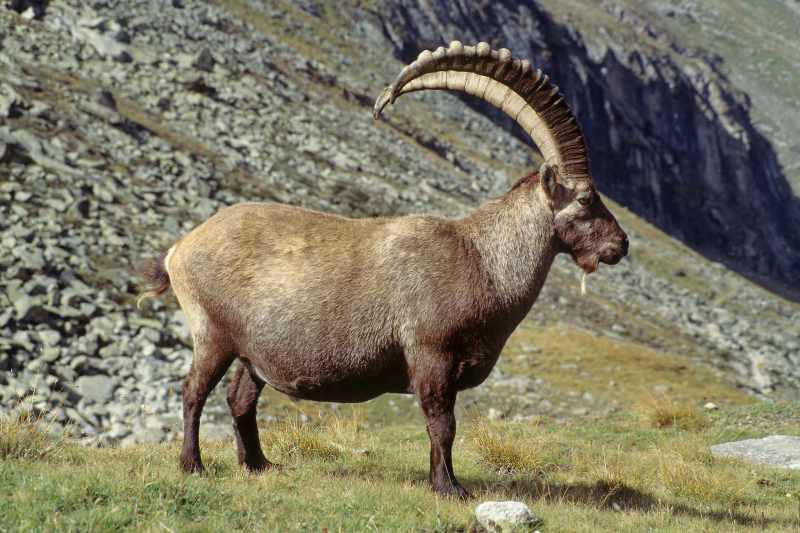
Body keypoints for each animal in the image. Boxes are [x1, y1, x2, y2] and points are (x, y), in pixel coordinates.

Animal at [139, 41, 628, 498]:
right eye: (586, 199)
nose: (620, 245)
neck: (483, 259)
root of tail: (181, 247)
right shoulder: (431, 355)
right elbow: (442, 424)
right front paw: (449, 488)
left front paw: (440, 482)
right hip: (213, 334)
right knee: (193, 391)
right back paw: (193, 465)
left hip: (251, 351)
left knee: (239, 398)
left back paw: (258, 464)